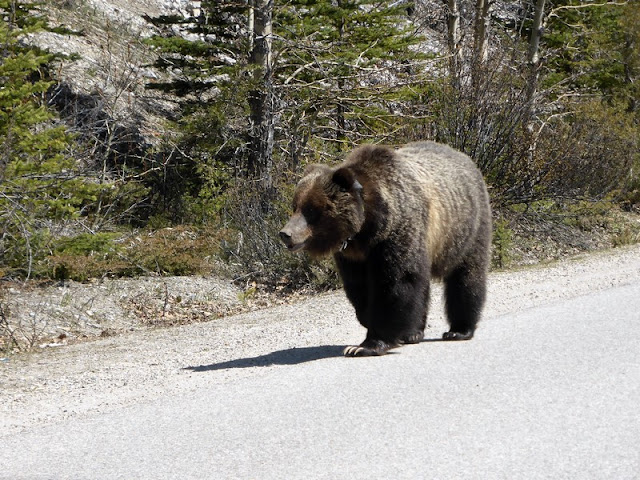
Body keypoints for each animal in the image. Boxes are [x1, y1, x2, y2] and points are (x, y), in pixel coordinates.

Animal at [278, 142, 492, 356]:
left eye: (311, 209)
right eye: (295, 206)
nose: (285, 233)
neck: (367, 229)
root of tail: (466, 159)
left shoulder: (397, 233)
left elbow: (396, 284)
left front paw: (366, 345)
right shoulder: (353, 256)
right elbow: (359, 287)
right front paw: (368, 319)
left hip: (465, 228)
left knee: (466, 276)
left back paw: (459, 330)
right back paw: (413, 333)